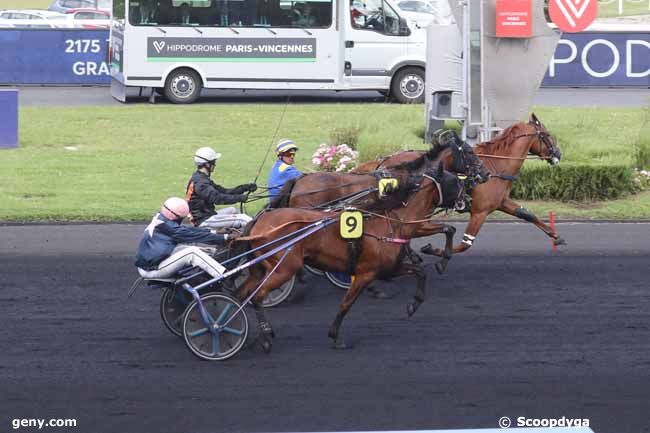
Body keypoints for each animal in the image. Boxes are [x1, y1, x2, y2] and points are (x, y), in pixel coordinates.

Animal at [235, 164, 464, 350]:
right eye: (453, 181)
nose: (466, 199)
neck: (392, 221)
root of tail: (259, 222)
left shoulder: (388, 269)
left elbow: (420, 271)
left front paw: (413, 304)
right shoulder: (366, 273)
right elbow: (346, 304)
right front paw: (335, 337)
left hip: (261, 269)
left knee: (241, 294)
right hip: (284, 268)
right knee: (256, 297)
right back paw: (265, 336)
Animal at [418, 113, 564, 256]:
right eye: (548, 134)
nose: (558, 154)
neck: (495, 167)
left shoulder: (501, 202)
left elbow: (526, 213)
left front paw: (556, 236)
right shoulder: (479, 212)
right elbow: (465, 244)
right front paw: (432, 249)